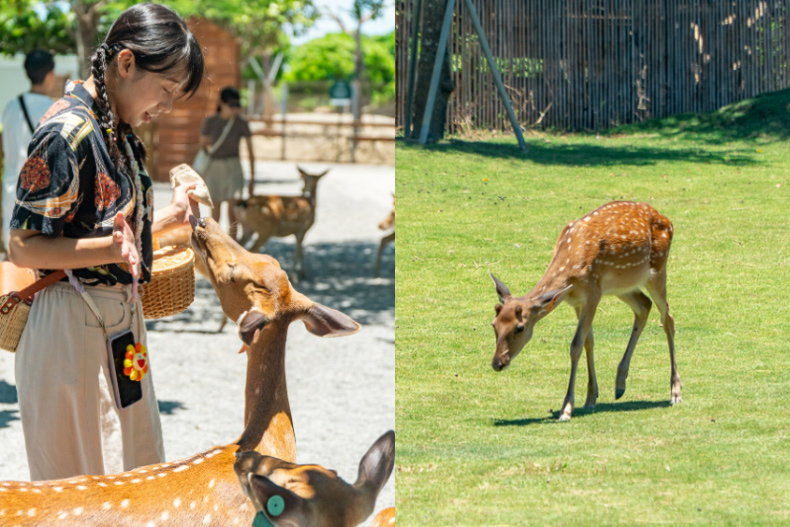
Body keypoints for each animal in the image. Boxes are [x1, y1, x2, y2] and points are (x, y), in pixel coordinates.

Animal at [488, 200, 680, 422]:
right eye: (494, 325)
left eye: (520, 328)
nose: (497, 363)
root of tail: (667, 219)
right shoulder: (577, 301)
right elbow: (589, 342)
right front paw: (590, 398)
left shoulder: (592, 293)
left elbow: (576, 345)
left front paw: (566, 409)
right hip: (622, 286)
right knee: (644, 306)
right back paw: (620, 384)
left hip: (657, 270)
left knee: (667, 318)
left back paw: (675, 392)